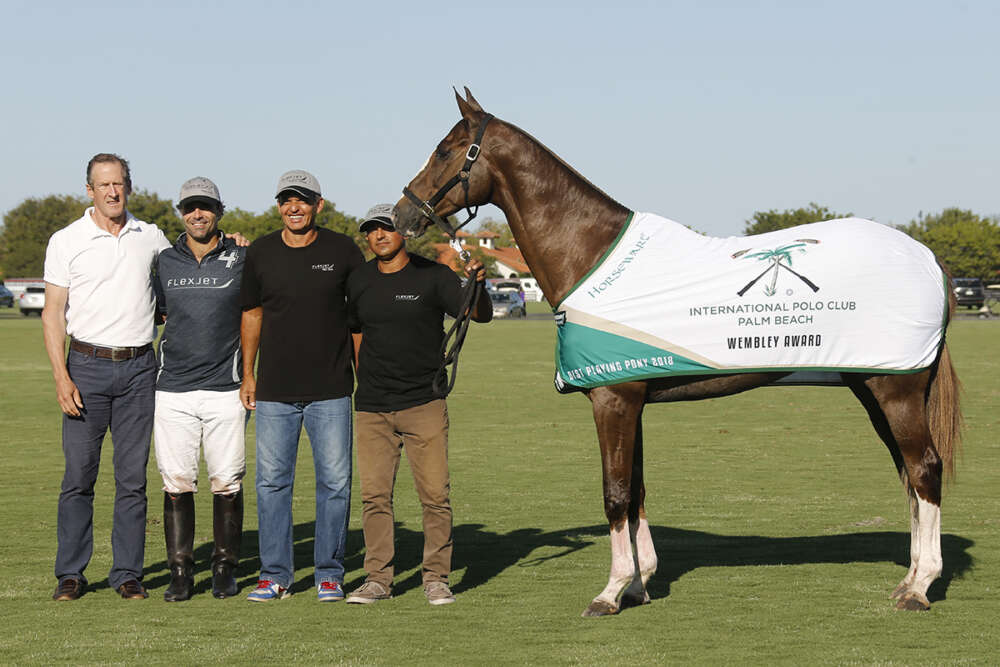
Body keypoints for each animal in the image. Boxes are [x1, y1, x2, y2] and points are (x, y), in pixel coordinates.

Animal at [390, 91, 960, 620]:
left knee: (924, 469)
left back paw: (920, 587)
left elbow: (615, 492)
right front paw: (639, 586)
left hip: (895, 390)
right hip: (872, 386)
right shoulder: (633, 399)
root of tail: (928, 260)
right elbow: (637, 491)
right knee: (909, 475)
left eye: (447, 150)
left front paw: (610, 592)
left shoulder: (613, 400)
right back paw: (908, 579)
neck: (588, 251)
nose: (402, 215)